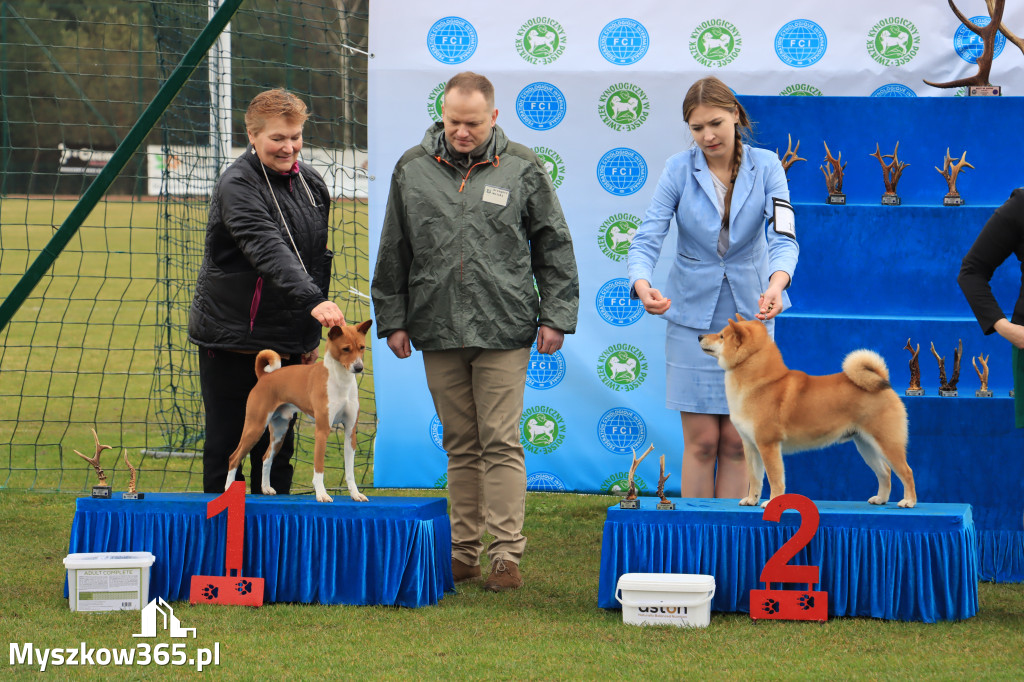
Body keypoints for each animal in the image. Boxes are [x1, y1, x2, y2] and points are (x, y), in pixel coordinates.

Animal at [224, 319, 372, 499]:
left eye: (362, 347)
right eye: (345, 349)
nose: (358, 368)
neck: (340, 381)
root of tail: (265, 376)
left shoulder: (350, 431)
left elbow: (350, 471)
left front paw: (356, 494)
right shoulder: (322, 430)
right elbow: (319, 468)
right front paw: (321, 494)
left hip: (279, 432)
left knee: (266, 458)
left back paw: (266, 488)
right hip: (255, 427)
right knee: (234, 457)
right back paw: (228, 490)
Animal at [700, 313, 917, 503]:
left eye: (721, 336)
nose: (700, 336)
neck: (762, 383)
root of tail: (883, 382)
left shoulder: (768, 445)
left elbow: (775, 479)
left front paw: (772, 502)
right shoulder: (751, 445)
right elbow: (755, 478)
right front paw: (751, 500)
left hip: (887, 442)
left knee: (906, 471)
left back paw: (909, 501)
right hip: (865, 445)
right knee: (885, 472)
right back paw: (881, 499)